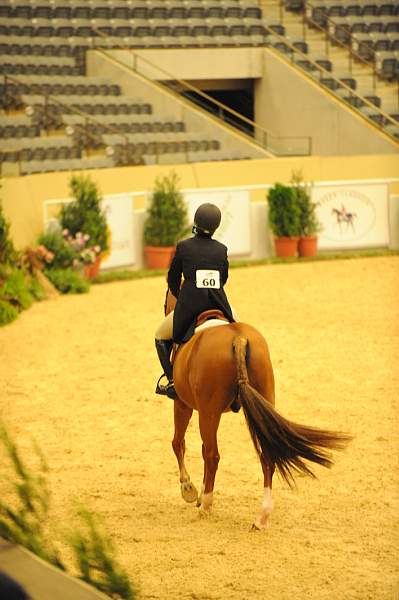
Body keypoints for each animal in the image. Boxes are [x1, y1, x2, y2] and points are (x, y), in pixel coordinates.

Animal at [165, 290, 350, 528]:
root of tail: (239, 339)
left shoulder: (182, 403)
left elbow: (178, 443)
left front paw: (188, 489)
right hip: (258, 403)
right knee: (266, 456)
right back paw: (262, 517)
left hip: (208, 412)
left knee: (212, 455)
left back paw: (207, 505)